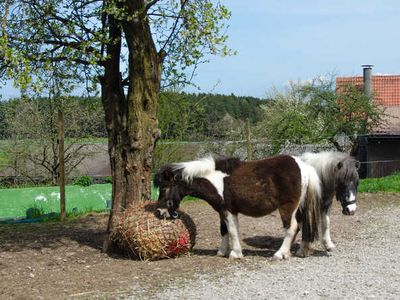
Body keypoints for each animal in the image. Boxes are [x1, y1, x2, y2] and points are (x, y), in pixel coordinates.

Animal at [155, 155, 320, 260]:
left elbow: (233, 231)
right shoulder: (221, 211)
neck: (215, 181)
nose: (159, 212)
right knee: (301, 226)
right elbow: (224, 230)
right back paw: (299, 251)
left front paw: (235, 253)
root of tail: (303, 167)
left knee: (291, 228)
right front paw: (222, 252)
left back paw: (280, 254)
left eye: (164, 187)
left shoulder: (228, 211)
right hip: (299, 208)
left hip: (287, 208)